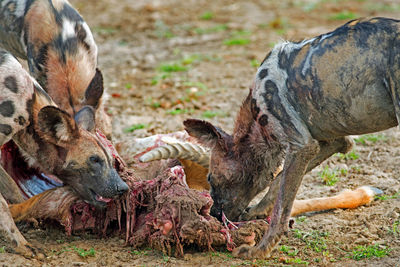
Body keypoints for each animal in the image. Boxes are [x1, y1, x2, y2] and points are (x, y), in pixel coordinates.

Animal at [0, 50, 128, 258]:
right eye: (94, 159)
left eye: (111, 159)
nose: (123, 188)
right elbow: (2, 205)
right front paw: (22, 244)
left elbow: (11, 188)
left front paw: (25, 217)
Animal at [184, 17, 400, 260]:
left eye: (210, 178)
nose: (212, 213)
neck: (256, 125)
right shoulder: (331, 142)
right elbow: (277, 184)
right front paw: (258, 211)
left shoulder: (301, 146)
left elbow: (281, 211)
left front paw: (259, 251)